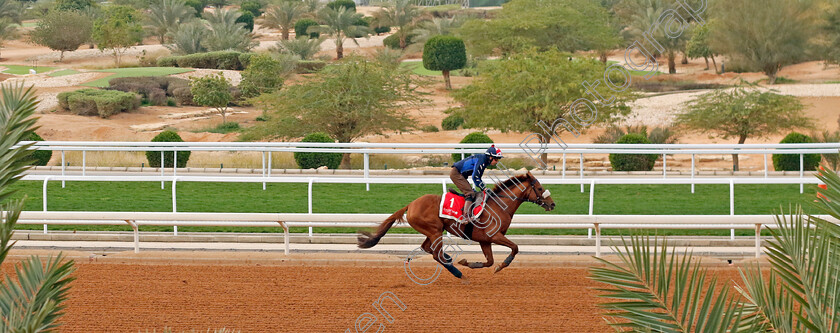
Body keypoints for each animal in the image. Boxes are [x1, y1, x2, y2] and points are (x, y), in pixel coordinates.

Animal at [358, 171, 556, 280]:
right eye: (539, 188)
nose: (552, 204)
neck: (499, 205)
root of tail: (411, 204)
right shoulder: (494, 236)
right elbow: (515, 248)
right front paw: (502, 265)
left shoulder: (485, 240)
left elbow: (489, 261)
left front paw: (468, 262)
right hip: (435, 231)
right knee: (436, 254)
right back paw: (458, 272)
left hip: (433, 231)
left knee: (429, 249)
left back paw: (451, 262)